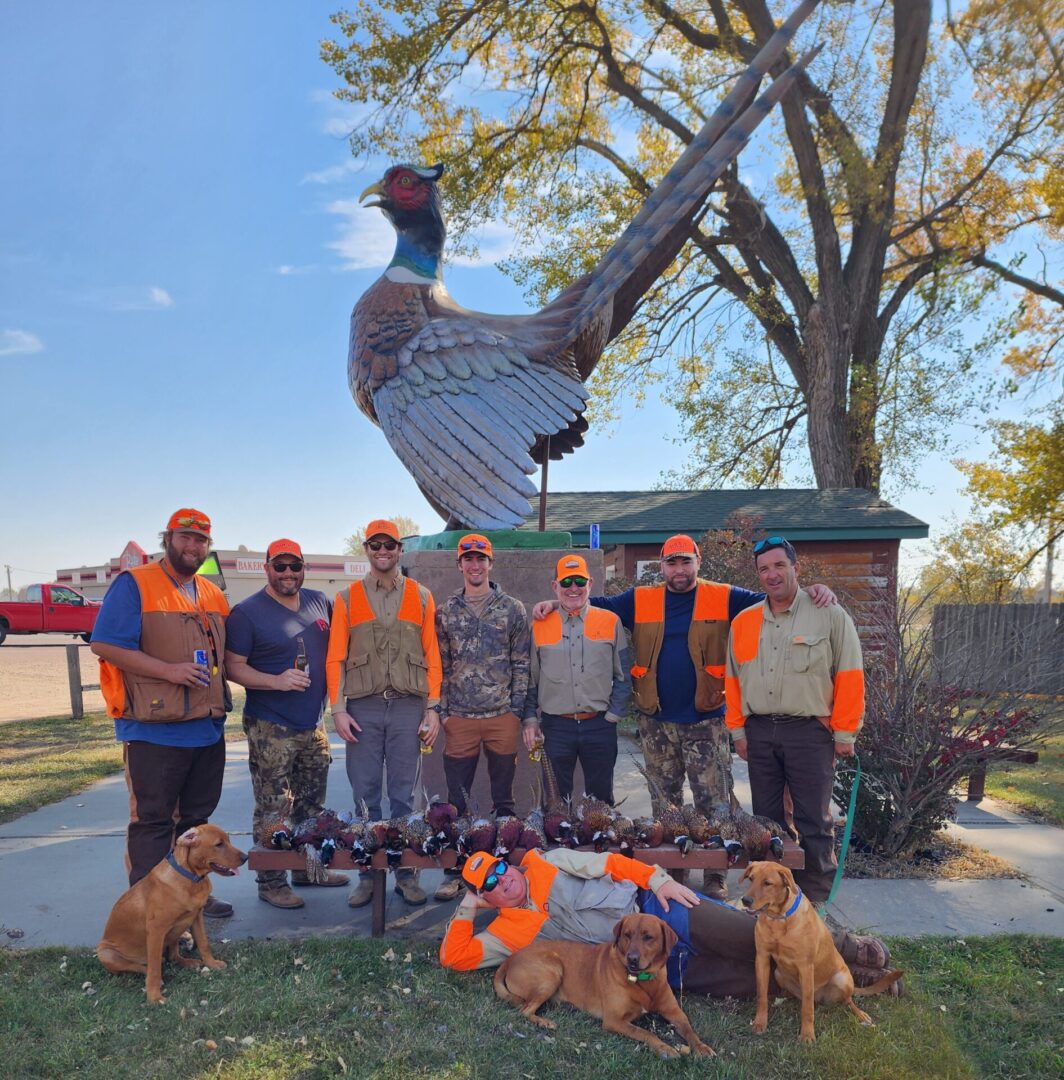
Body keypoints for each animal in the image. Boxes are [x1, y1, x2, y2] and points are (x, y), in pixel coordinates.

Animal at [95, 825, 245, 1002]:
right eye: (219, 844)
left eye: (228, 840)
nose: (246, 857)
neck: (191, 878)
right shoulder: (156, 930)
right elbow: (154, 967)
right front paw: (154, 997)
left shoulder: (197, 917)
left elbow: (204, 943)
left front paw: (212, 963)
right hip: (106, 953)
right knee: (141, 966)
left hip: (175, 933)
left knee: (173, 956)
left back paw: (188, 962)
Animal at [496, 911, 712, 1054]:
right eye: (627, 934)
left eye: (648, 937)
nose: (632, 959)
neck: (642, 981)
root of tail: (509, 959)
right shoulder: (614, 1020)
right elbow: (646, 1033)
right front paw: (665, 1048)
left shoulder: (675, 1012)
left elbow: (689, 1030)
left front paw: (702, 1047)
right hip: (553, 970)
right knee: (524, 1010)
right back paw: (544, 1021)